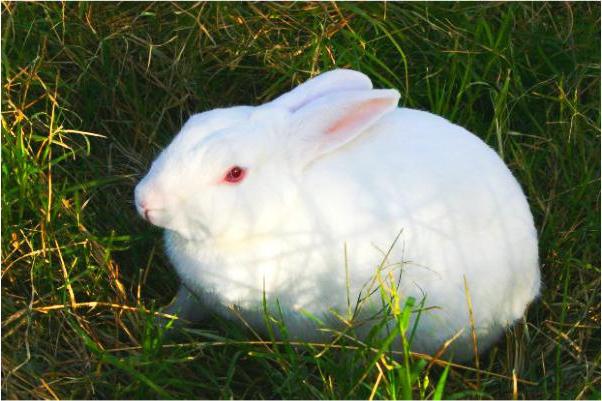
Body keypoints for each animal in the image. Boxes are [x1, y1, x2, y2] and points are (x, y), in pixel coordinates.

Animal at [134, 68, 536, 360]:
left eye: (235, 173)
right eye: (192, 124)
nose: (145, 201)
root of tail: (527, 286)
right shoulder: (195, 295)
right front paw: (158, 324)